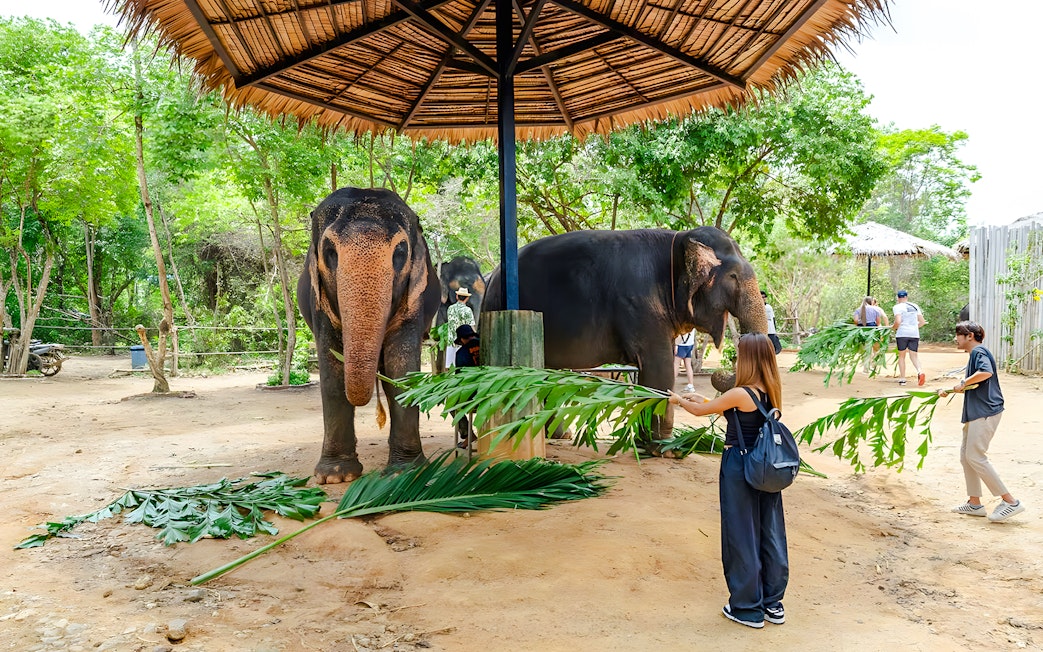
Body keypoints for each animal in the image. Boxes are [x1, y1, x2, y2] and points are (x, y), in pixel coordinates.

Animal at [297, 187, 441, 484]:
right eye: (330, 252)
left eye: (400, 251)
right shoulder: (319, 302)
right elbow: (332, 376)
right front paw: (335, 476)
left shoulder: (414, 299)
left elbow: (401, 373)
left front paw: (406, 471)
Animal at [482, 227, 768, 441]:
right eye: (733, 276)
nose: (720, 373)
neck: (679, 239)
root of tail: (493, 276)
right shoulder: (639, 304)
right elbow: (660, 367)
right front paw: (664, 448)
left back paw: (559, 435)